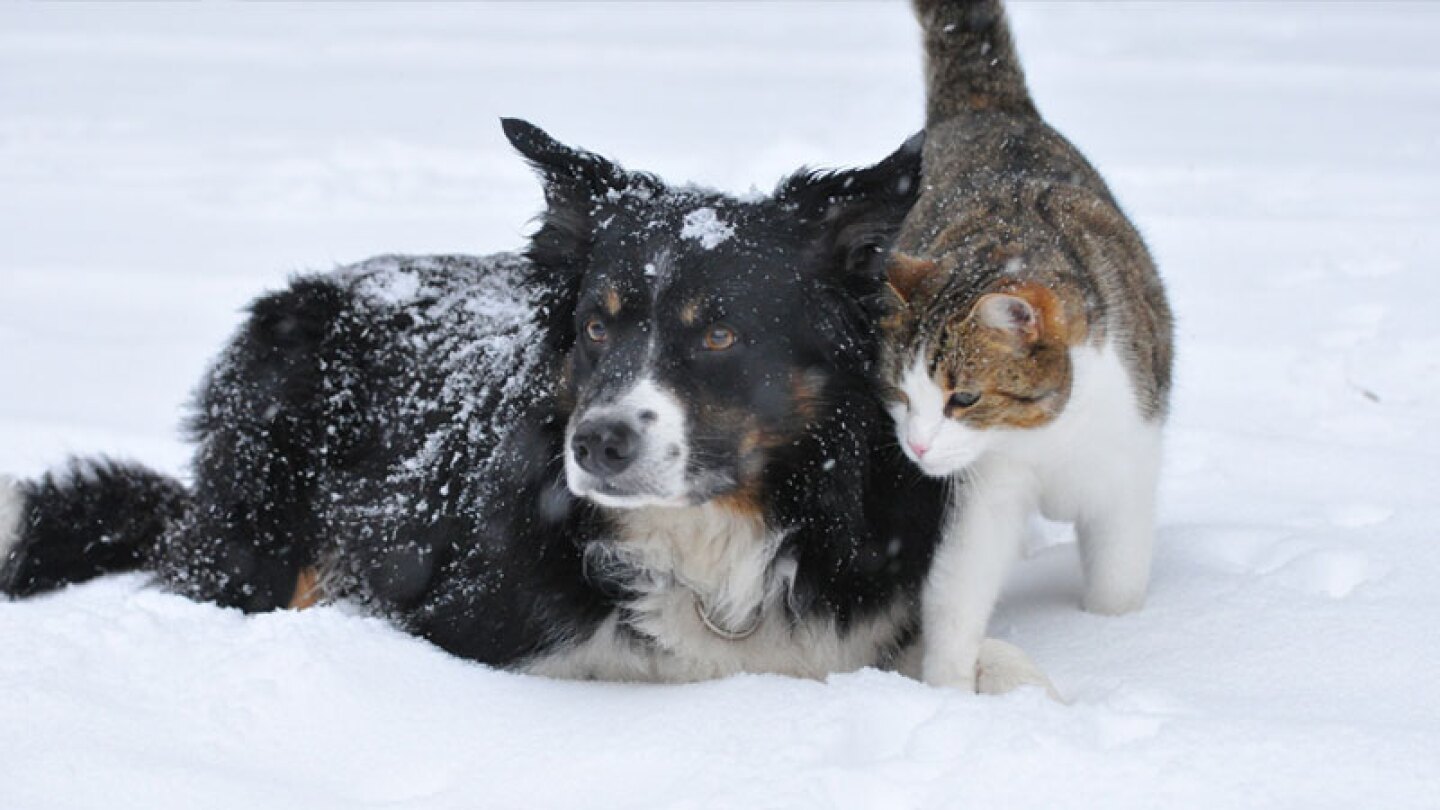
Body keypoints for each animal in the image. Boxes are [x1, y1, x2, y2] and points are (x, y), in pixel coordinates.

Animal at [2, 119, 1059, 686]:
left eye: (720, 334)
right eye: (596, 325)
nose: (596, 444)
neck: (709, 543)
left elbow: (977, 660)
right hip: (263, 517)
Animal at [881, 0, 1175, 686]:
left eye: (963, 397)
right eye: (900, 395)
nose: (917, 447)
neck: (1049, 436)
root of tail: (987, 108)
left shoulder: (1127, 465)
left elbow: (1118, 584)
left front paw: (1121, 638)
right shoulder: (983, 489)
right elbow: (958, 588)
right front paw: (945, 688)